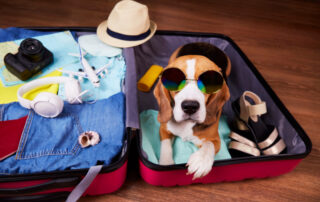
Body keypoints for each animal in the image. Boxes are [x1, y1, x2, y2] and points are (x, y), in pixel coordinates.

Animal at [153, 42, 230, 178]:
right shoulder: (164, 129)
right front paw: (166, 163)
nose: (190, 106)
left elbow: (209, 145)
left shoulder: (215, 139)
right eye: (174, 80)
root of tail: (206, 43)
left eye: (208, 82)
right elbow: (166, 146)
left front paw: (201, 160)